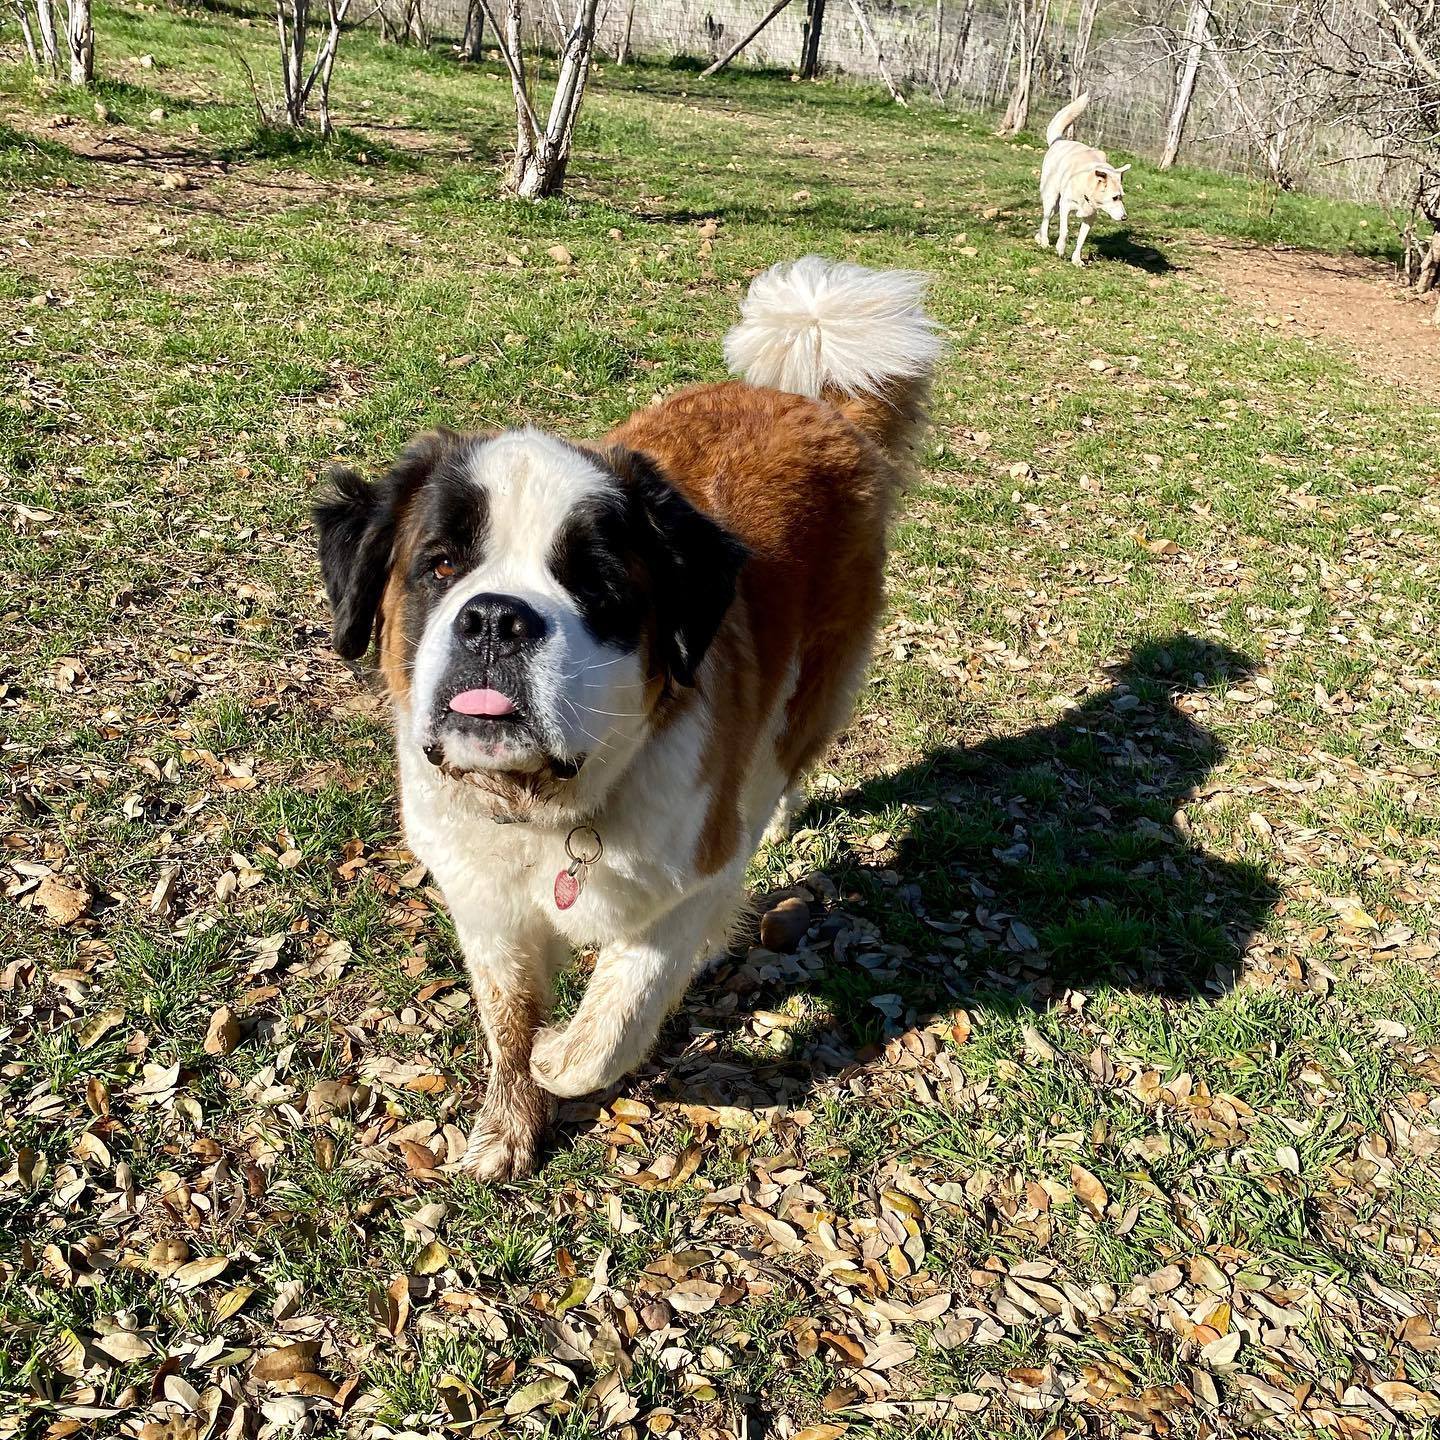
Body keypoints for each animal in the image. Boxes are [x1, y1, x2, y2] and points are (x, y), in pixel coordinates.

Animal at [316, 256, 944, 1180]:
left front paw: (560, 1057)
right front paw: (508, 1123)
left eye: (594, 585)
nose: (496, 619)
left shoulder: (695, 873)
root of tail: (812, 401)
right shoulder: (488, 910)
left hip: (810, 689)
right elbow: (507, 1020)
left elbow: (619, 1006)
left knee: (782, 763)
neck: (549, 813)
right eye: (440, 566)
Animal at [1042, 91, 1128, 266]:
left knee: (1049, 216)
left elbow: (1081, 240)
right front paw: (1060, 249)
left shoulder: (1090, 218)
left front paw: (1076, 260)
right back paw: (1043, 240)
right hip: (1052, 197)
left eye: (1122, 197)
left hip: (1056, 205)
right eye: (1115, 197)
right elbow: (1065, 231)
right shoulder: (1066, 207)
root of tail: (1060, 140)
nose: (1125, 218)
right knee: (1046, 217)